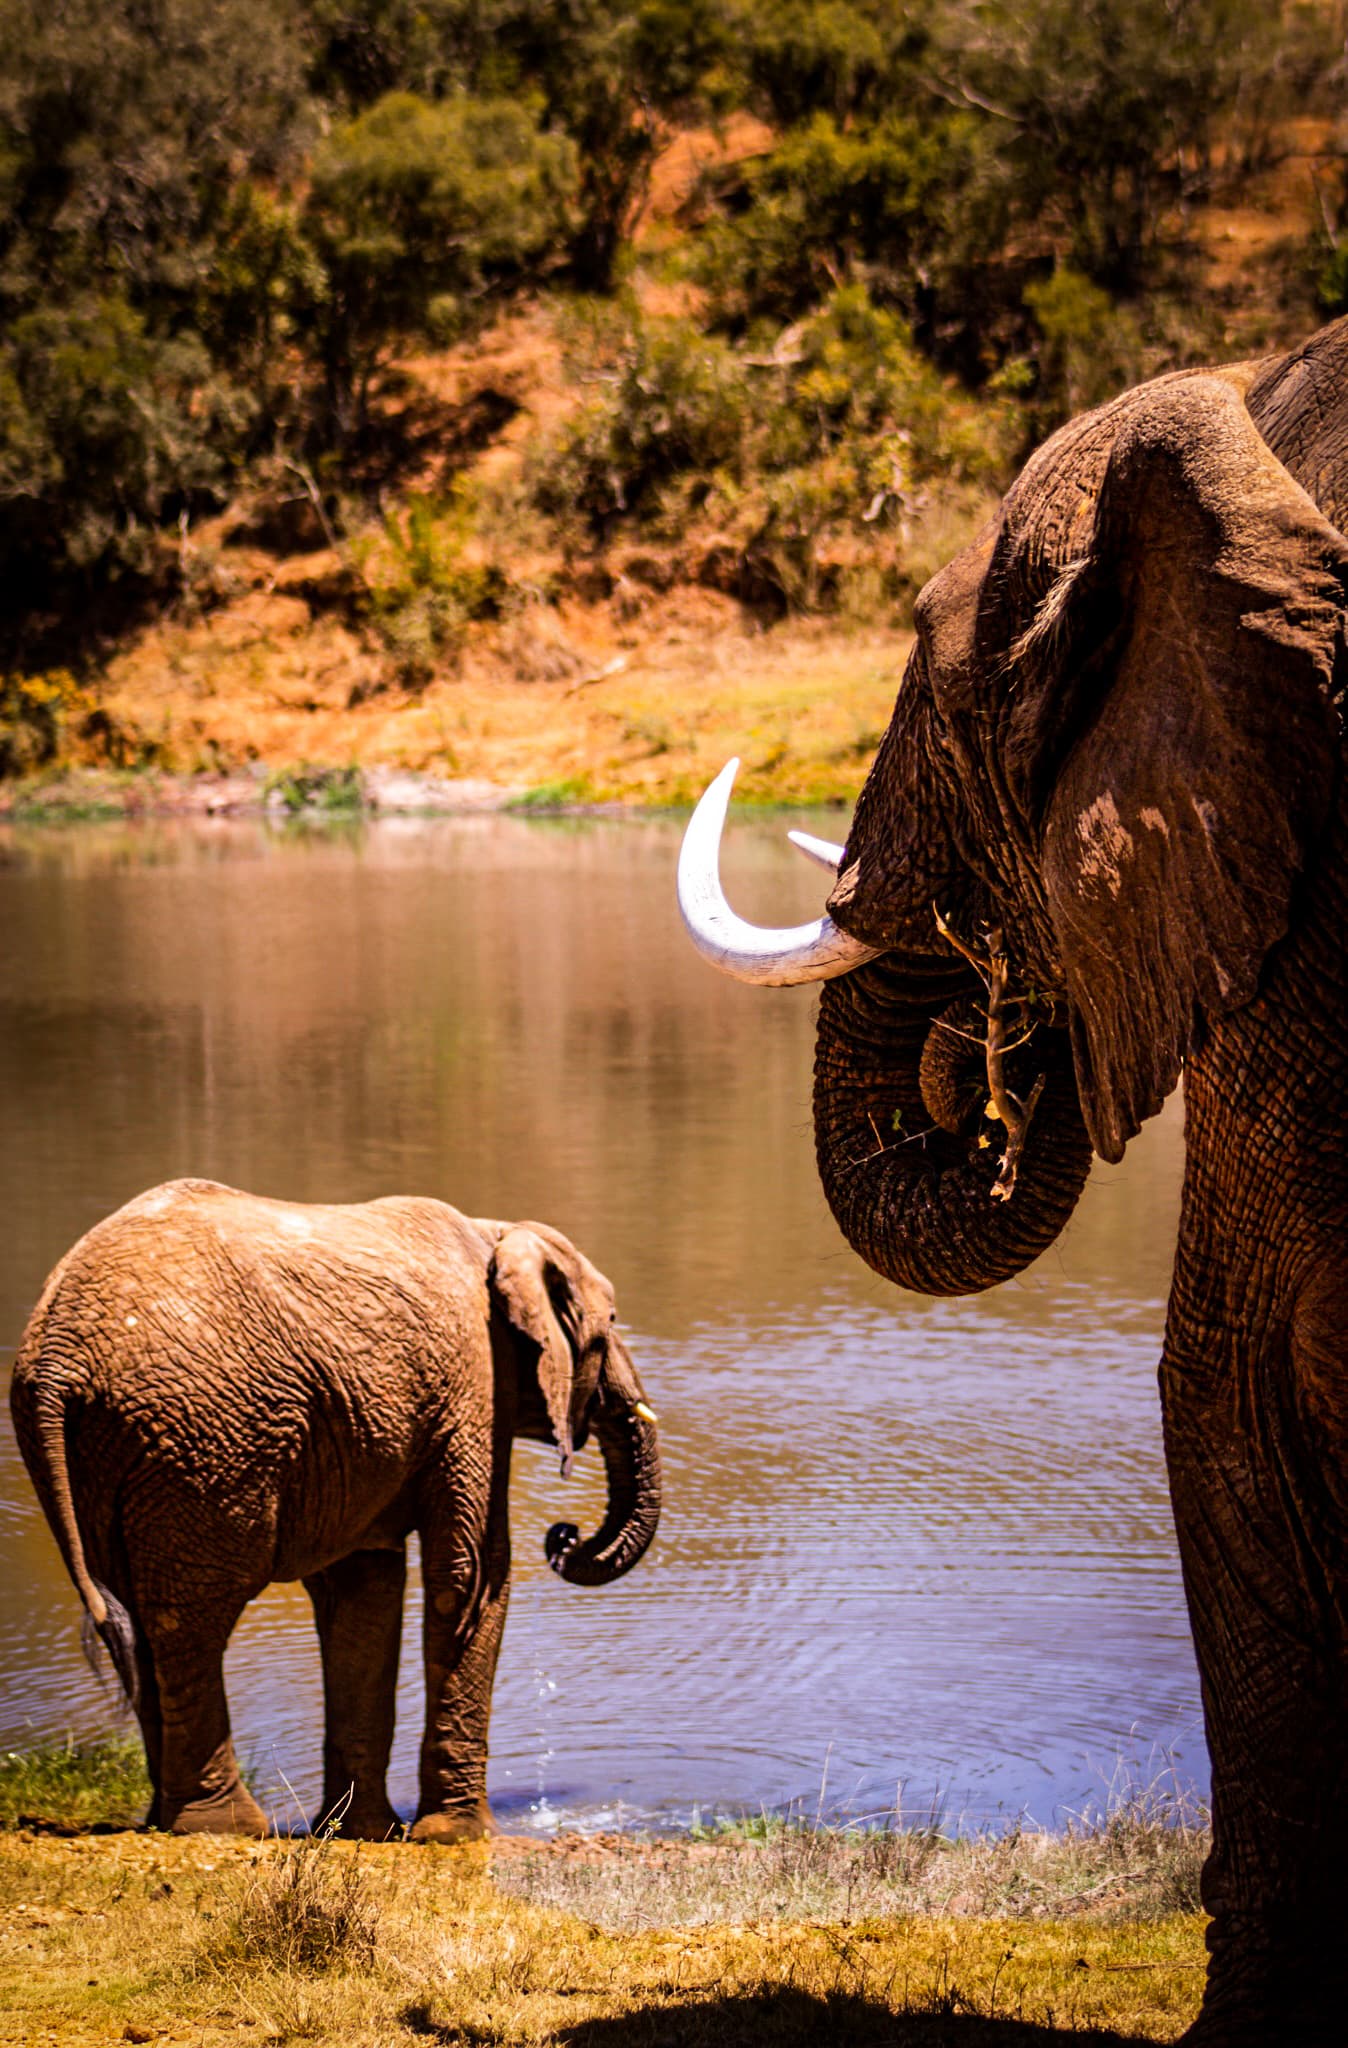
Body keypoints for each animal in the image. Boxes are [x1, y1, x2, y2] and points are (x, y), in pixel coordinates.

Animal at [10, 1178, 661, 1842]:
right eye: (609, 1325)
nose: (563, 1537)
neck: (496, 1232)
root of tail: (55, 1358)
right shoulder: (474, 1382)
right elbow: (470, 1574)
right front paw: (461, 1836)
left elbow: (364, 1590)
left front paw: (367, 1832)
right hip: (203, 1439)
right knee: (190, 1619)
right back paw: (226, 1826)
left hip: (103, 1451)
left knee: (131, 1617)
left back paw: (166, 1821)